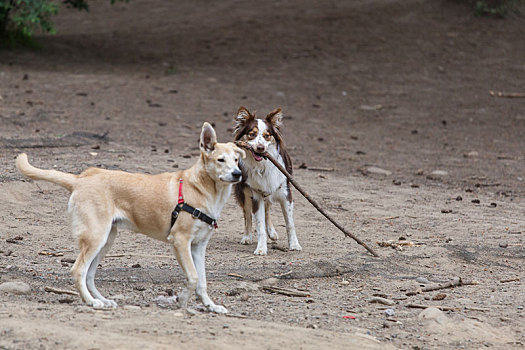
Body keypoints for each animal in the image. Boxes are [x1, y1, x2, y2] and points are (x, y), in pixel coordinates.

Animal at [16, 121, 245, 314]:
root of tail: (80, 179)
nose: (237, 174)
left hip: (106, 240)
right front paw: (182, 301)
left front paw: (211, 306)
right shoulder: (180, 241)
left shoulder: (198, 246)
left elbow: (203, 281)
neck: (204, 189)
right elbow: (194, 277)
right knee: (78, 270)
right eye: (220, 160)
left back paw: (101, 299)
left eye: (236, 160)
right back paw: (91, 302)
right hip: (96, 237)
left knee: (89, 274)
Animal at [232, 105, 300, 256]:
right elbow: (259, 225)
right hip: (244, 192)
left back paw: (272, 232)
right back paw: (247, 236)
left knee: (268, 209)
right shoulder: (256, 195)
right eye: (252, 134)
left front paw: (294, 245)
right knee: (247, 215)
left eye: (267, 136)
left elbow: (290, 224)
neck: (263, 165)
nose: (261, 148)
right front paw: (261, 248)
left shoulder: (285, 194)